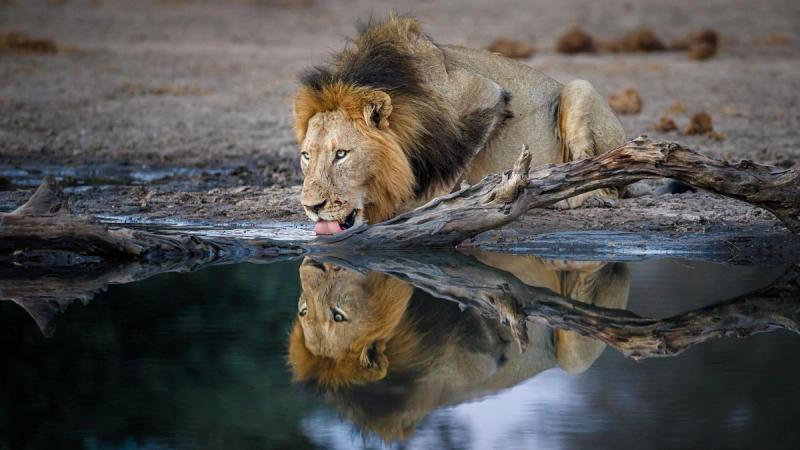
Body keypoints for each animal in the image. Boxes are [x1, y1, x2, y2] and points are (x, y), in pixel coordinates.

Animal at [293, 15, 625, 234]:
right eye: (306, 156)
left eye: (341, 154)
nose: (311, 207)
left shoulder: (486, 94)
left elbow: (451, 165)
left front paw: (426, 207)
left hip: (579, 88)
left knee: (602, 178)